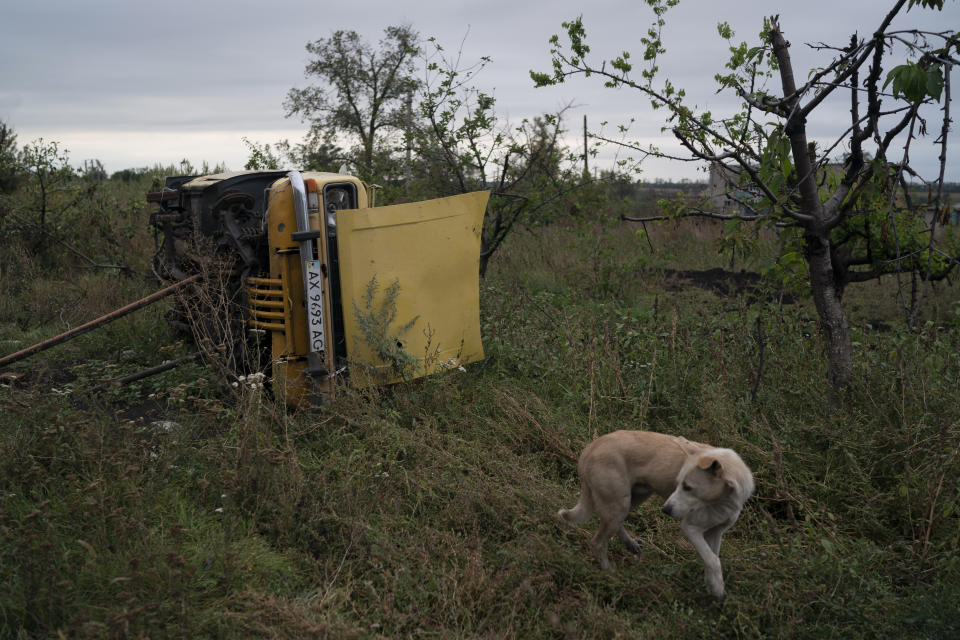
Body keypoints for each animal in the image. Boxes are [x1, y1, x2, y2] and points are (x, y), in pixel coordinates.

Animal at [560, 430, 752, 600]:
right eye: (679, 483)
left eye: (688, 487)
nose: (665, 510)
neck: (721, 501)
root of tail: (590, 448)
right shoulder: (691, 528)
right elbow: (713, 560)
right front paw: (718, 589)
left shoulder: (715, 532)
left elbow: (711, 558)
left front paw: (711, 585)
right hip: (619, 504)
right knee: (598, 542)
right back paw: (610, 573)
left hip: (634, 498)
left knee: (616, 525)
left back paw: (630, 545)